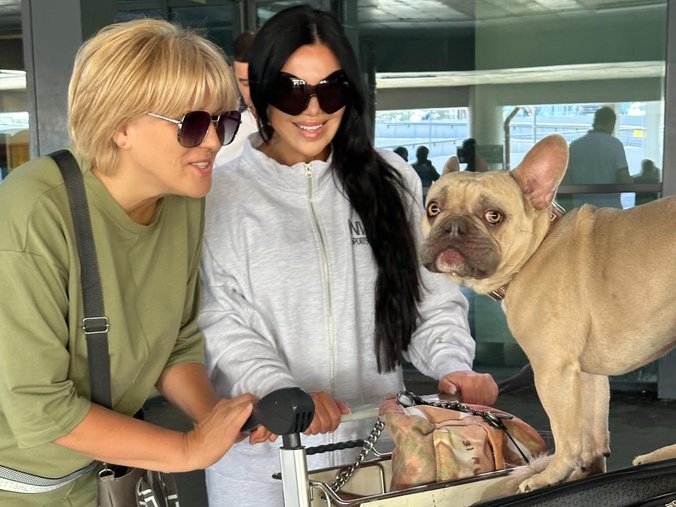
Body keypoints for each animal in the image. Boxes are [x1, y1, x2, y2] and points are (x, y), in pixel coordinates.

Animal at [420, 134, 676, 492]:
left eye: (494, 216)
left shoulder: (552, 371)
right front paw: (588, 470)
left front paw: (549, 475)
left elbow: (566, 435)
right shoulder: (587, 373)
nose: (452, 227)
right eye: (433, 209)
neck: (537, 248)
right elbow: (593, 430)